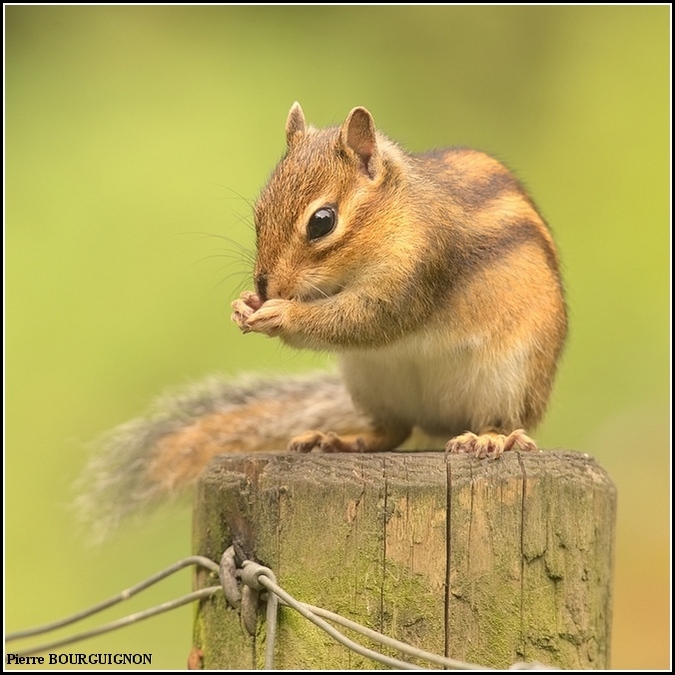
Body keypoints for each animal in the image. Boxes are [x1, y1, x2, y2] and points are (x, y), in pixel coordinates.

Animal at [79, 103, 567, 536]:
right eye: (258, 214)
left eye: (321, 222)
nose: (264, 288)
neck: (393, 219)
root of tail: (438, 423)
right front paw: (244, 305)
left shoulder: (416, 272)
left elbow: (364, 320)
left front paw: (281, 314)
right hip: (373, 385)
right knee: (391, 431)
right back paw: (336, 441)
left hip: (506, 380)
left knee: (504, 421)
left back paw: (490, 439)